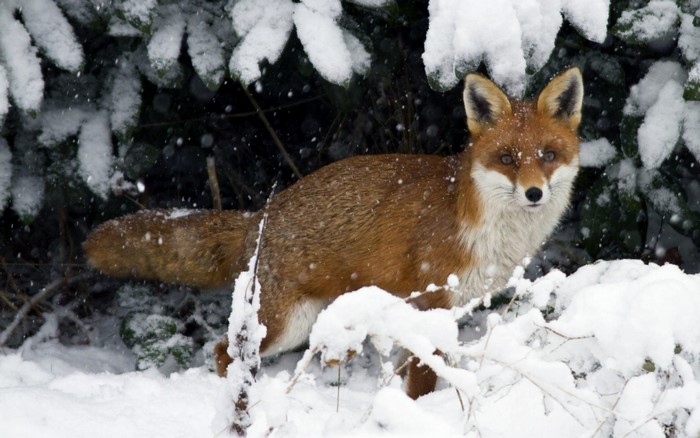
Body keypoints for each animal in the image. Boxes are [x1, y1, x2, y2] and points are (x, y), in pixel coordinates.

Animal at [84, 68, 583, 399]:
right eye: (507, 159)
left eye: (547, 154)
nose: (534, 193)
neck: (485, 227)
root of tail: (261, 215)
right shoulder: (429, 302)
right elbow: (422, 378)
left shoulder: (445, 310)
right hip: (284, 324)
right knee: (224, 351)